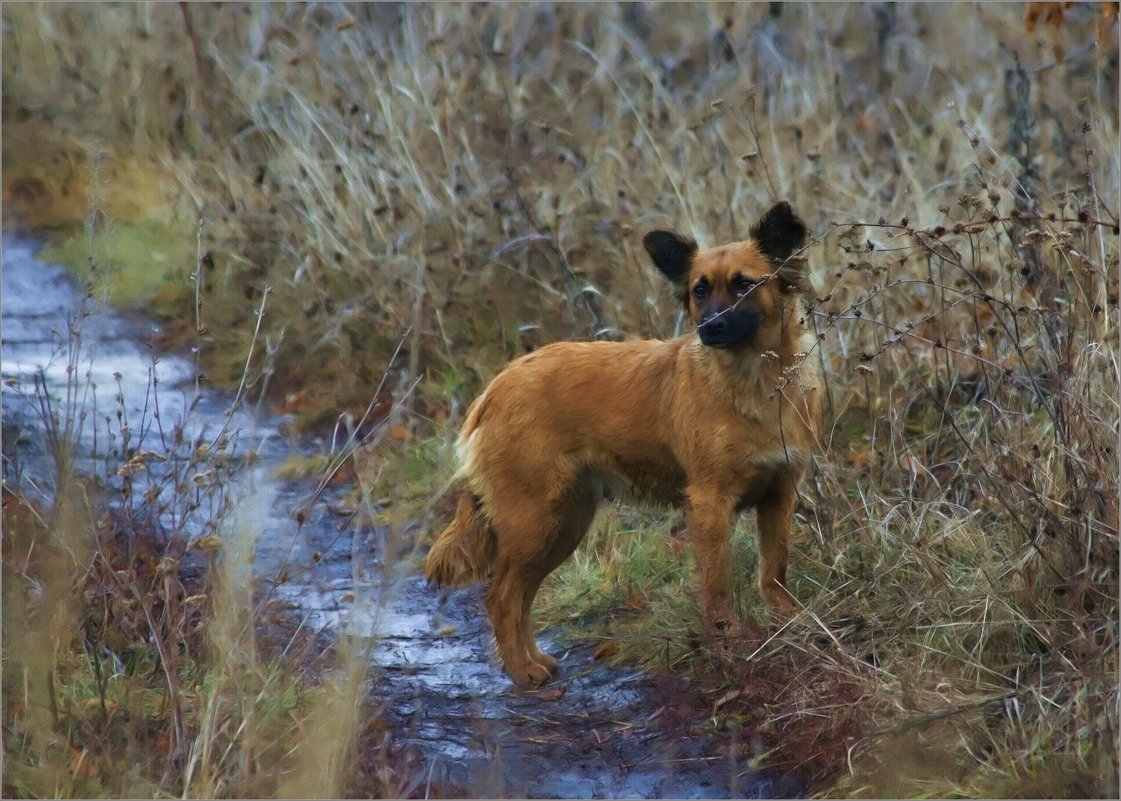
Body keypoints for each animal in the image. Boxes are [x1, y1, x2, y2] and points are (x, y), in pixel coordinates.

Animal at [423, 201, 820, 690]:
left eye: (744, 284)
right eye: (699, 290)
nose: (710, 327)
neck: (756, 381)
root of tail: (497, 385)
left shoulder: (780, 494)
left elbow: (775, 573)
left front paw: (789, 627)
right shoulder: (710, 505)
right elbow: (717, 588)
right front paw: (727, 646)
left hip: (563, 524)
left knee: (519, 596)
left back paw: (535, 660)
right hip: (537, 521)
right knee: (501, 596)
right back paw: (524, 671)